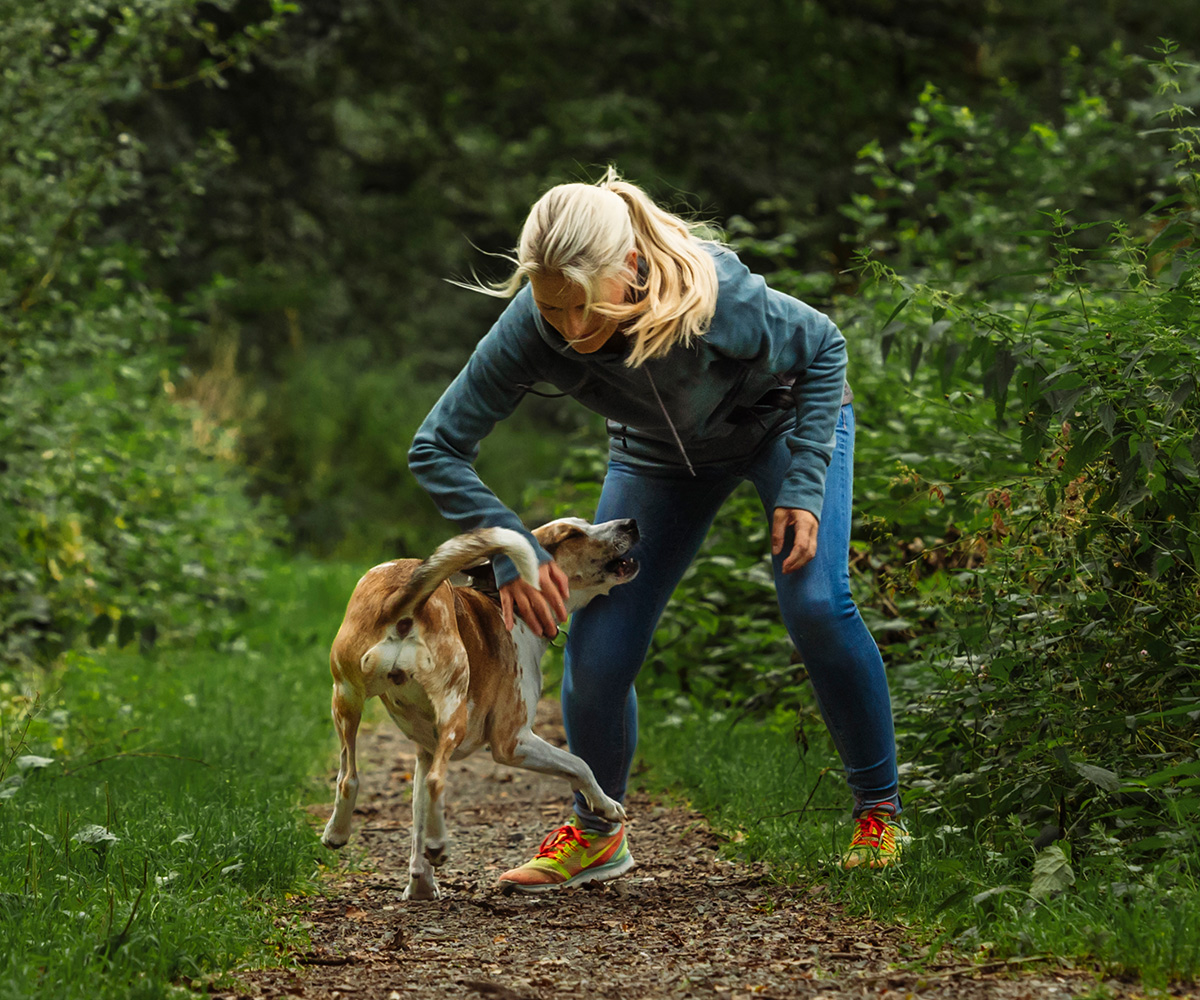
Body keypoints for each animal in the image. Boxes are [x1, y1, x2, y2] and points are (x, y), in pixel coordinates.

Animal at [316, 518, 638, 902]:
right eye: (572, 534)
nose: (630, 523)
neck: (506, 604)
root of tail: (402, 594)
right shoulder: (513, 741)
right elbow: (579, 764)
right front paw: (605, 804)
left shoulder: (425, 752)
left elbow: (418, 820)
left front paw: (420, 884)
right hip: (453, 703)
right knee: (437, 781)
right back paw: (439, 845)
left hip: (345, 700)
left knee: (348, 777)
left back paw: (338, 832)